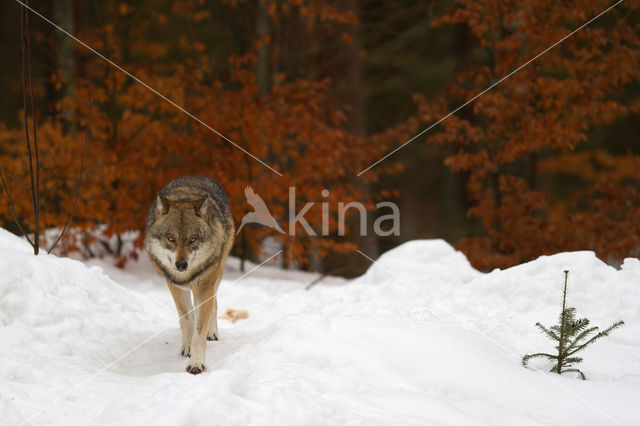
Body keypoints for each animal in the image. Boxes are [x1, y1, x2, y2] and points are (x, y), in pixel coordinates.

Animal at [145, 175, 235, 374]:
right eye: (171, 238)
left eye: (193, 239)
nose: (181, 264)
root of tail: (196, 176)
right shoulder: (174, 285)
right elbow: (187, 319)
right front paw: (187, 347)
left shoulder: (205, 285)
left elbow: (200, 329)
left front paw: (196, 362)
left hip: (216, 276)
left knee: (214, 304)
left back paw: (212, 332)